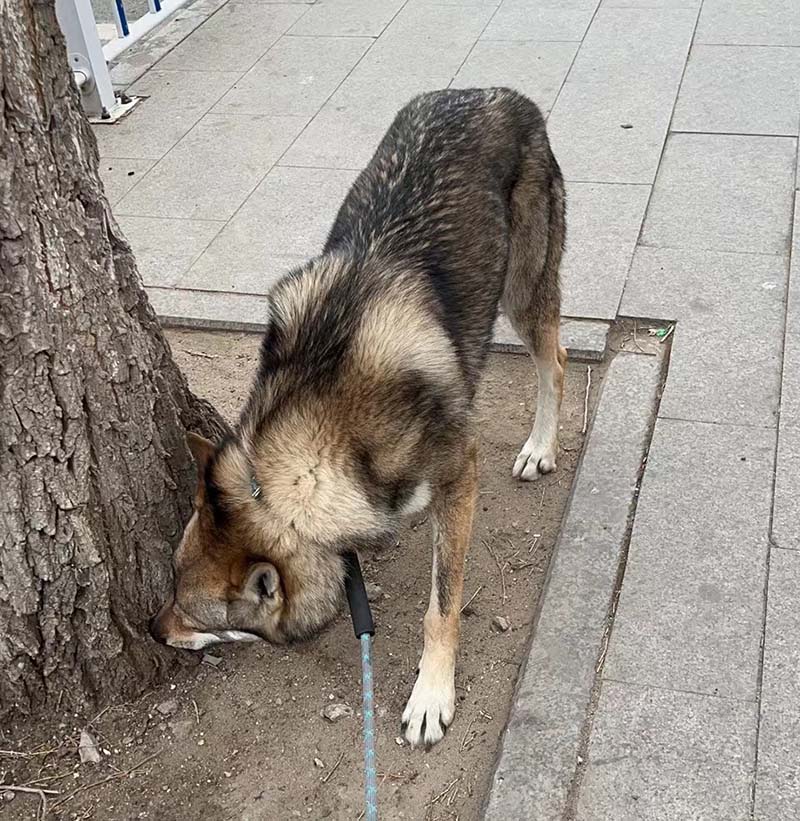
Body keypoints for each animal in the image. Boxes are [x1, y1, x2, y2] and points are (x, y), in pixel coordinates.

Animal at [148, 86, 564, 748]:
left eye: (195, 616)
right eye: (169, 586)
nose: (151, 628)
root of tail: (499, 93)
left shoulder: (460, 474)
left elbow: (442, 604)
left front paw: (431, 694)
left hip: (524, 295)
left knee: (557, 362)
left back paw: (540, 447)